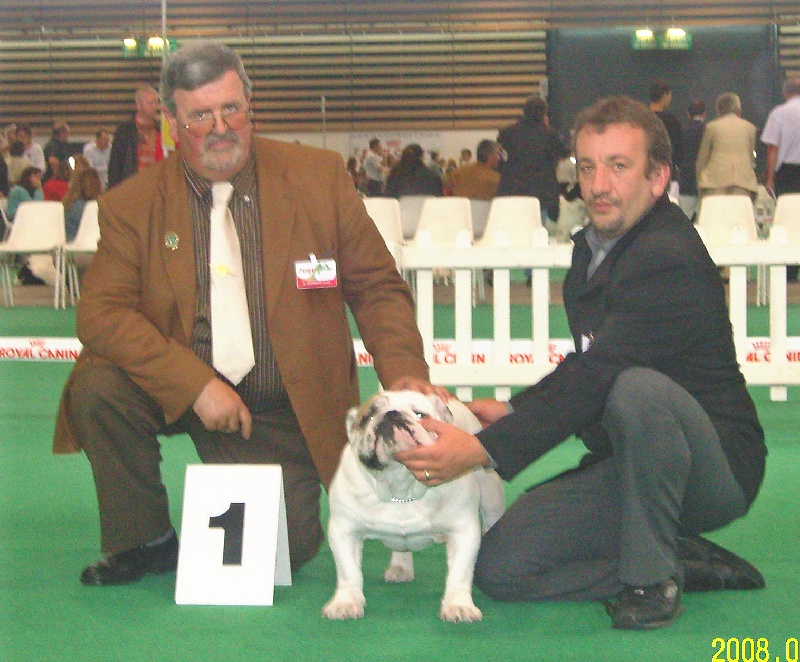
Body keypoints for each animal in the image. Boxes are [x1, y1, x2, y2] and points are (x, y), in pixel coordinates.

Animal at [322, 390, 505, 622]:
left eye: (420, 415)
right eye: (368, 417)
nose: (391, 414)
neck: (400, 483)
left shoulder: (463, 531)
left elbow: (460, 572)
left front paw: (458, 605)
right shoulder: (344, 531)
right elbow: (348, 571)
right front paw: (346, 602)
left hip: (490, 495)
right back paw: (400, 567)